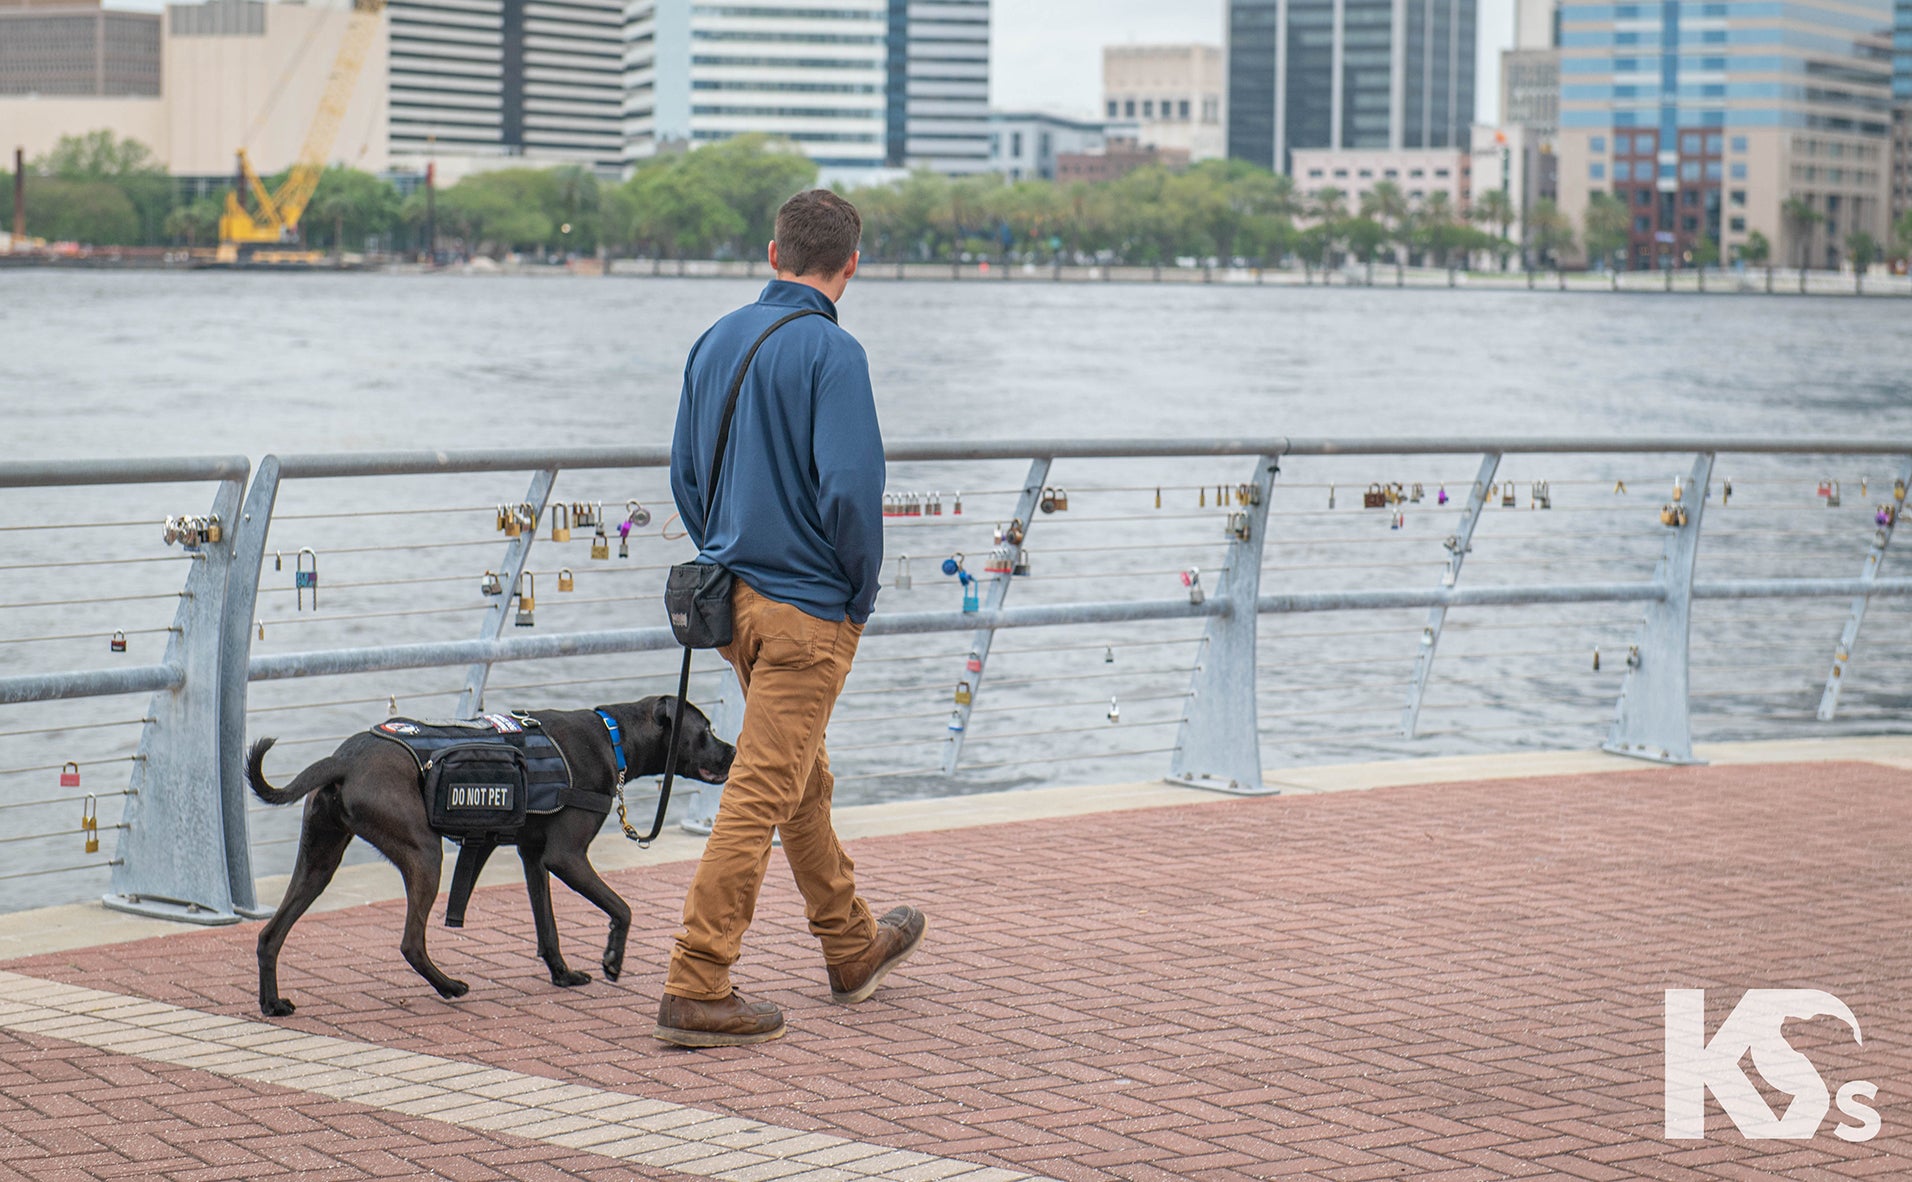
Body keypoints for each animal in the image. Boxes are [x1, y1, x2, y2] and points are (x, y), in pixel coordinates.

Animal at [244, 696, 730, 1017]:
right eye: (706, 731)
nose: (732, 750)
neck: (614, 736)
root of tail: (342, 759)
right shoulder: (567, 857)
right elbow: (623, 908)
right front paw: (612, 959)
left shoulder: (535, 857)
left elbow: (548, 928)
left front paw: (562, 975)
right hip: (425, 854)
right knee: (411, 942)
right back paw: (449, 986)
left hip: (319, 861)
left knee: (269, 935)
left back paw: (272, 1003)